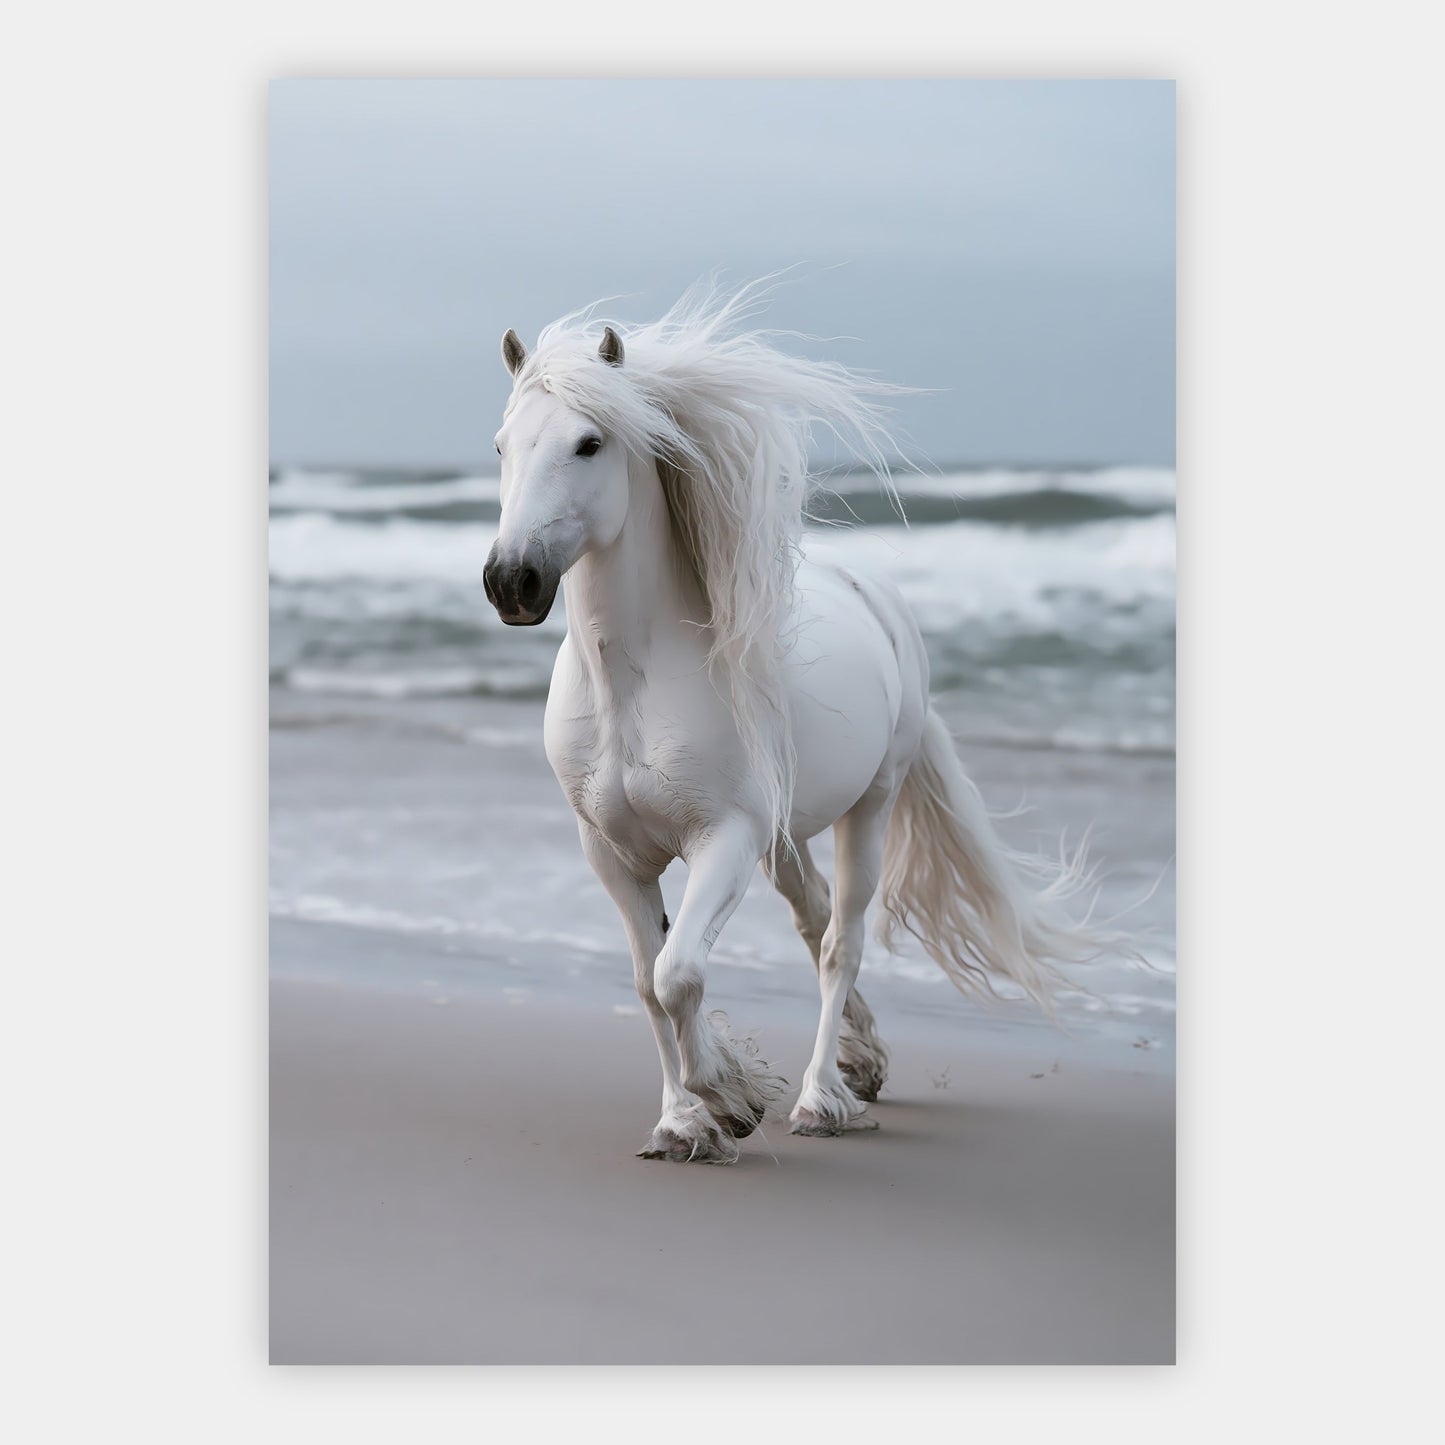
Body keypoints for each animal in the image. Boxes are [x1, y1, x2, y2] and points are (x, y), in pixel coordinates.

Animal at [482, 282, 1103, 1163]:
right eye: (502, 445)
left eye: (588, 442)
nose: (511, 581)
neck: (632, 689)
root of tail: (876, 596)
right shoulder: (609, 852)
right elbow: (646, 981)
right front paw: (680, 1122)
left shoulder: (724, 839)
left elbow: (678, 973)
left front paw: (733, 1098)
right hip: (783, 835)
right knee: (812, 923)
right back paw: (858, 1060)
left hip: (866, 808)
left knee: (839, 939)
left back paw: (819, 1097)